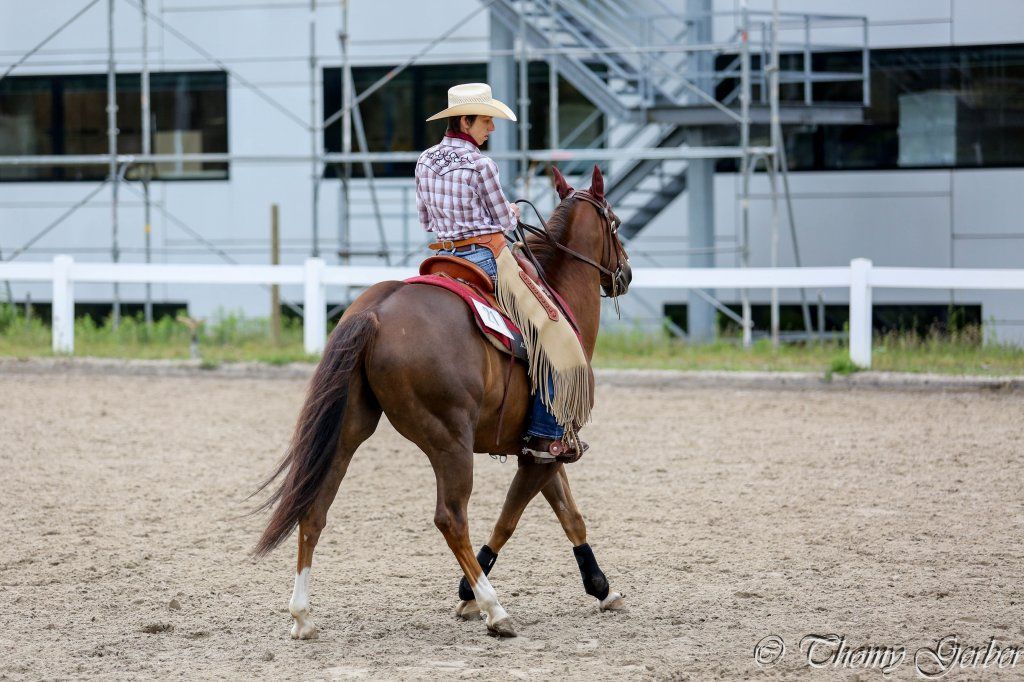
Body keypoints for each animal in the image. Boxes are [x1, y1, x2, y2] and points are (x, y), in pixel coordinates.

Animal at [252, 164, 632, 638]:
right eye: (615, 222)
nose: (625, 274)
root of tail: (376, 313)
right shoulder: (547, 447)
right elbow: (511, 518)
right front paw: (470, 595)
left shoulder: (543, 451)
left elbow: (570, 515)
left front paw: (603, 589)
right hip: (450, 440)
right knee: (451, 517)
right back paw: (496, 609)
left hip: (347, 431)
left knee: (315, 508)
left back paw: (302, 616)